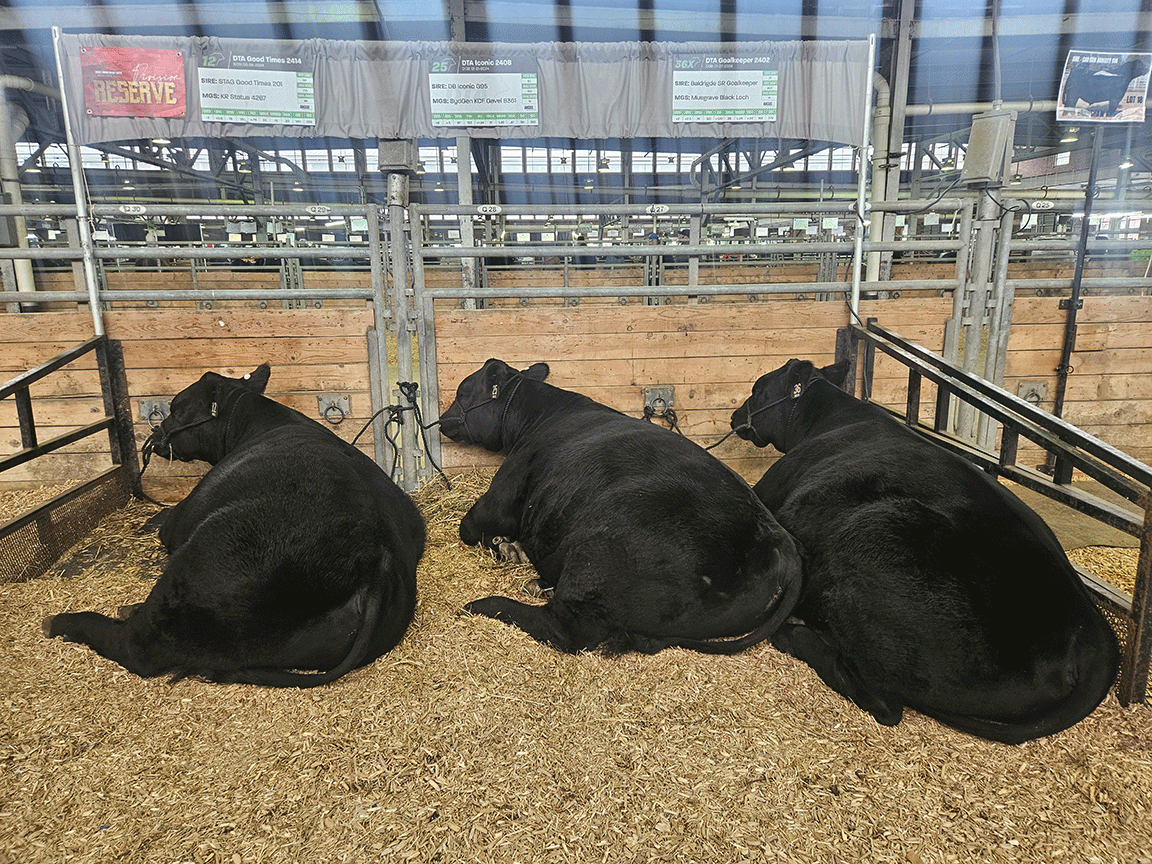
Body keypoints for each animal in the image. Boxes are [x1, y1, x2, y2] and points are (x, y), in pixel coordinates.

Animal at [44, 364, 425, 687]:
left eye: (177, 407)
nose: (156, 435)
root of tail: (373, 558)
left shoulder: (183, 517)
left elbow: (166, 521)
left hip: (197, 568)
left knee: (135, 647)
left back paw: (63, 622)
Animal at [440, 358, 802, 655]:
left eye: (463, 392)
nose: (442, 420)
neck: (540, 416)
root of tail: (783, 549)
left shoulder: (499, 498)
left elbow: (470, 527)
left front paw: (505, 546)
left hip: (600, 547)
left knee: (568, 629)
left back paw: (487, 604)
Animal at [731, 358, 1121, 744]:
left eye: (758, 389)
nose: (735, 417)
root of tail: (1093, 634)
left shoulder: (770, 492)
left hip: (875, 536)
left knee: (882, 701)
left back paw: (792, 634)